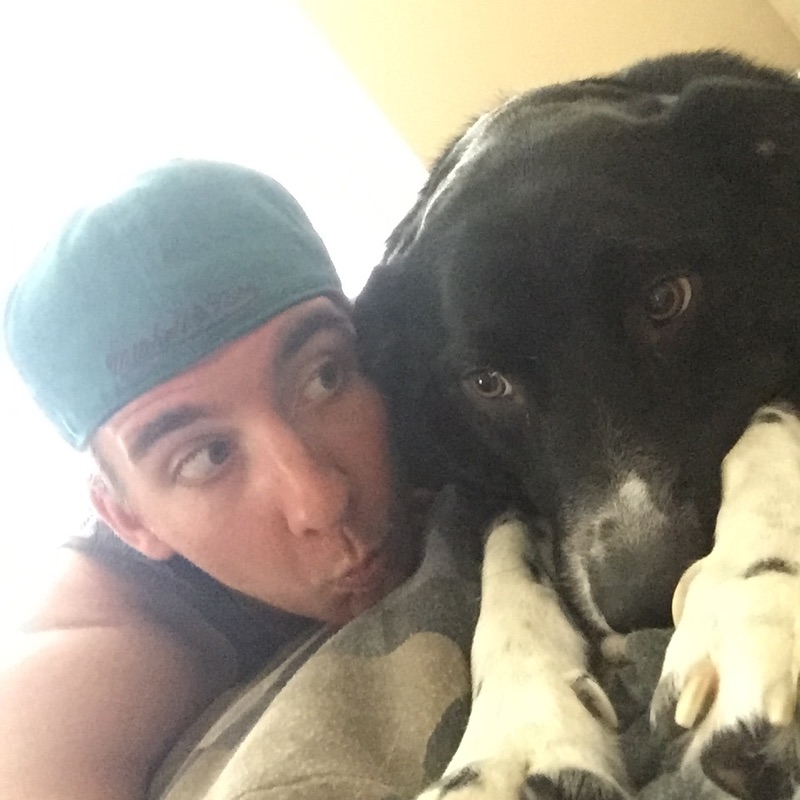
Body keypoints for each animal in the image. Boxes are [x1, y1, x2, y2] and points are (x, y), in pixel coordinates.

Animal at [354, 51, 800, 799]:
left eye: (667, 297)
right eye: (487, 383)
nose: (644, 600)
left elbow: (768, 426)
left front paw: (752, 599)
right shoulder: (478, 484)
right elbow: (504, 573)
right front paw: (511, 734)